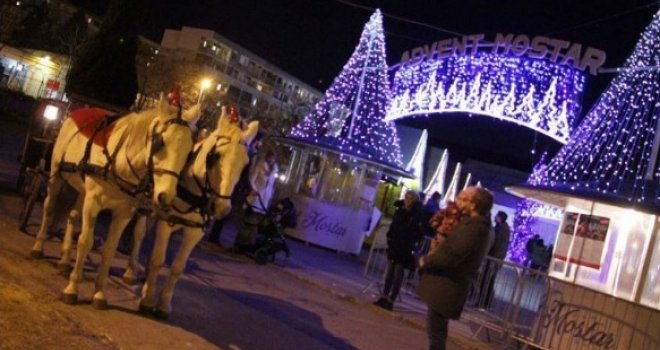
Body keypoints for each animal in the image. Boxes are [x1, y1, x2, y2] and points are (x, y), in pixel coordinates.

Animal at [30, 94, 201, 308]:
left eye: (189, 153)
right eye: (160, 142)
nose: (166, 196)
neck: (120, 163)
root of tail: (80, 109)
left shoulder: (124, 212)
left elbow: (110, 249)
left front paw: (99, 292)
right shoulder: (93, 202)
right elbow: (86, 241)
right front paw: (72, 288)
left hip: (82, 187)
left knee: (73, 214)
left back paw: (65, 260)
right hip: (56, 174)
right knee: (50, 206)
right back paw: (38, 246)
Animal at [125, 108, 256, 318]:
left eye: (245, 165)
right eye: (216, 156)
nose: (222, 208)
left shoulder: (195, 232)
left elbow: (178, 267)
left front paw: (163, 304)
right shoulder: (166, 221)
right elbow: (158, 260)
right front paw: (148, 300)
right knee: (139, 234)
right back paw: (132, 271)